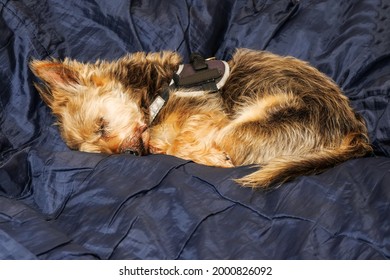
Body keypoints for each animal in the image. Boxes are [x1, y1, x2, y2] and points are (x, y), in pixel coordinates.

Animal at [29, 48, 372, 188]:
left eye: (101, 126)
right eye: (102, 153)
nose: (128, 154)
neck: (157, 94)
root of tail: (353, 134)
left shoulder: (209, 120)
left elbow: (183, 141)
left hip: (252, 122)